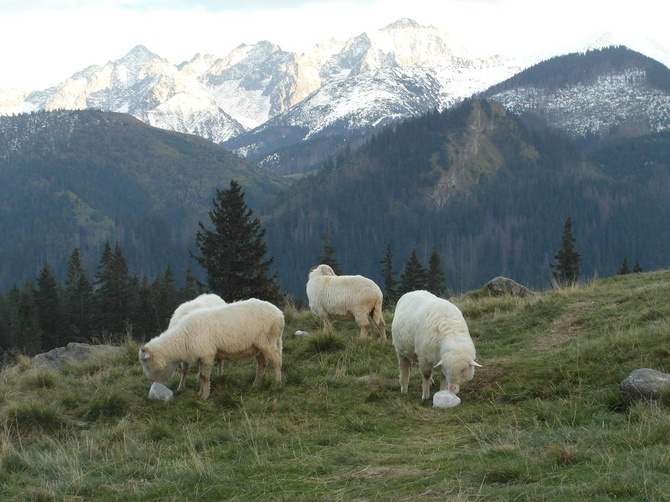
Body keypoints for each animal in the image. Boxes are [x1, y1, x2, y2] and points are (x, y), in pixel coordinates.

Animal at [138, 298, 284, 400]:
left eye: (146, 363)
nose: (150, 380)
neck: (183, 336)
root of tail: (280, 314)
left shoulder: (207, 355)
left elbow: (205, 377)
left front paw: (204, 396)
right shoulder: (202, 357)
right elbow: (202, 376)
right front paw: (200, 393)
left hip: (269, 341)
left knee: (276, 362)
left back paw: (277, 382)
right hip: (259, 346)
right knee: (262, 364)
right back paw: (256, 384)